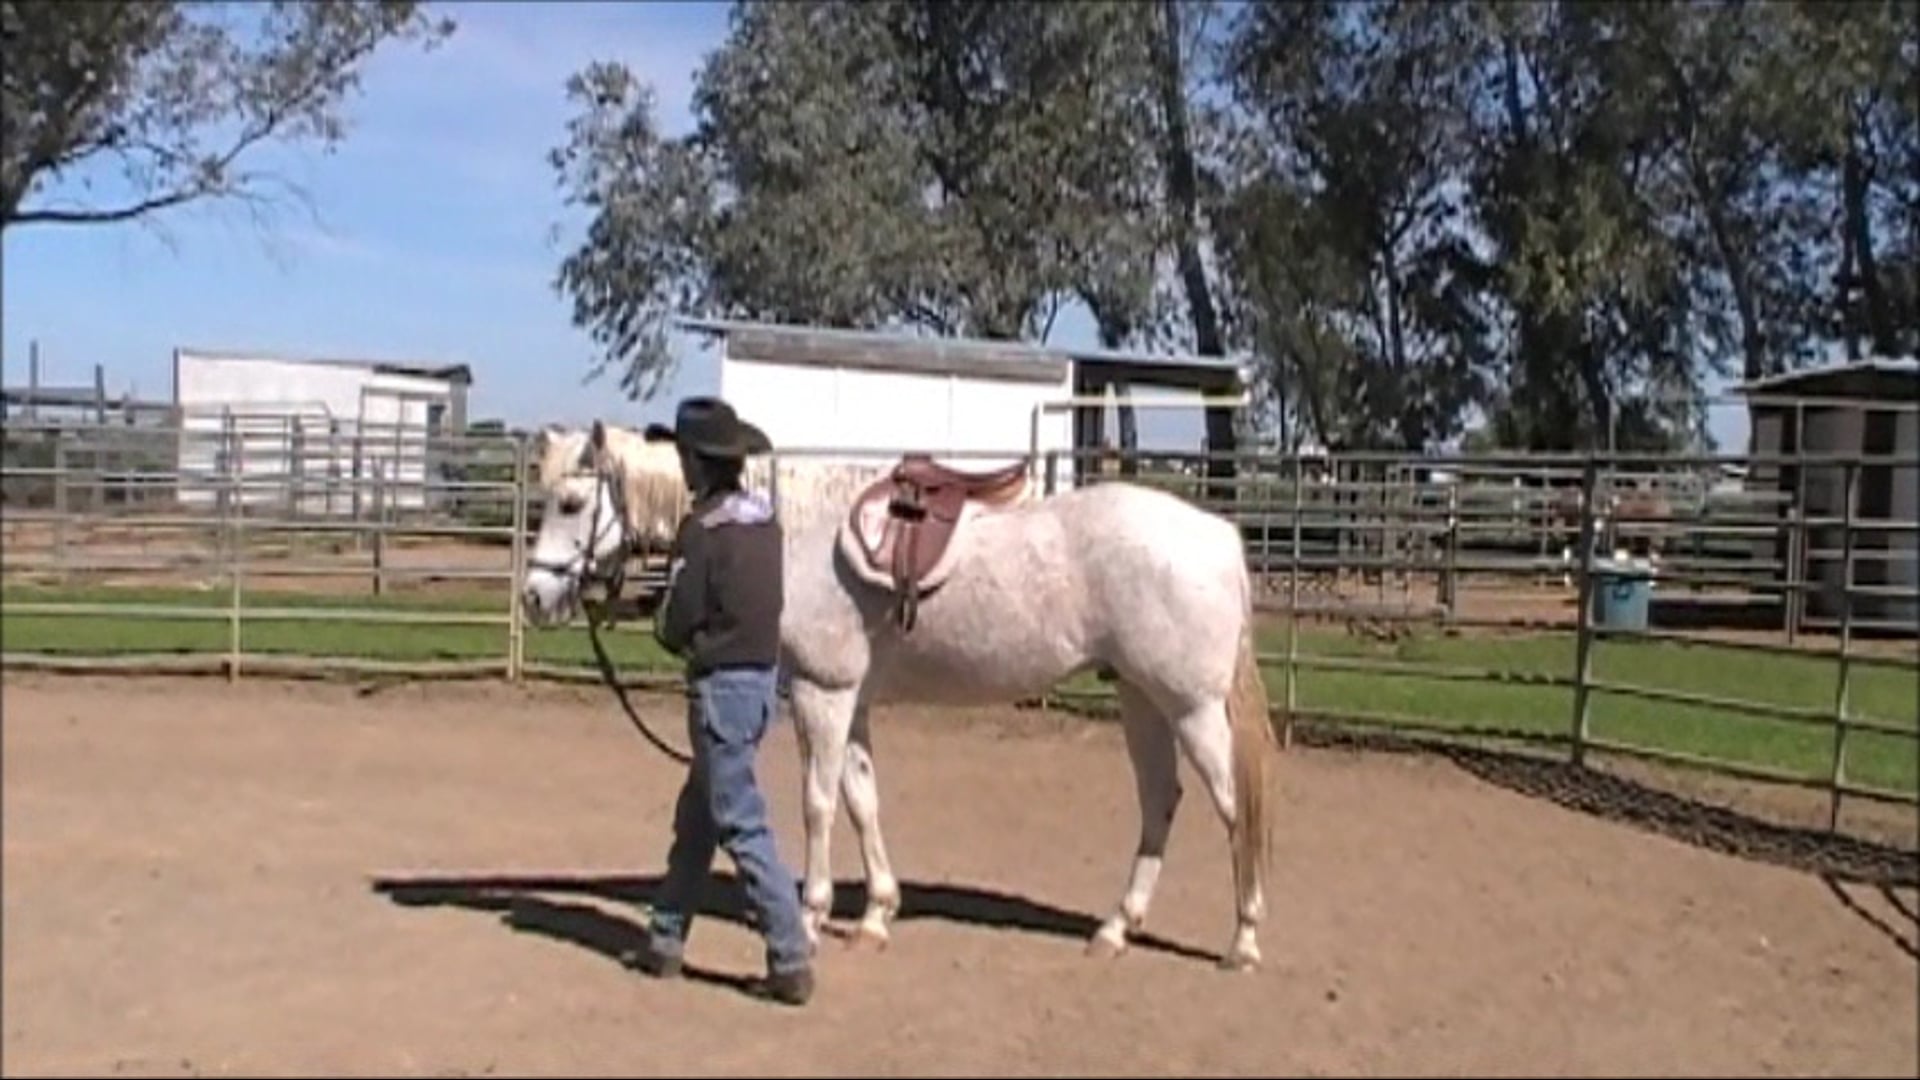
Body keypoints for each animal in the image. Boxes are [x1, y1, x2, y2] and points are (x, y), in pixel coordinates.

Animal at [519, 421, 1279, 971]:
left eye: (571, 503)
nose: (533, 597)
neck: (789, 531)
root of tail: (1220, 535)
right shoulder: (851, 701)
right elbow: (863, 799)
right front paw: (877, 915)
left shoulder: (823, 694)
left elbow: (819, 803)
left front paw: (814, 916)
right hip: (1141, 701)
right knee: (1161, 801)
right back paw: (1116, 929)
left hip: (1191, 708)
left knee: (1232, 807)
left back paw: (1243, 940)